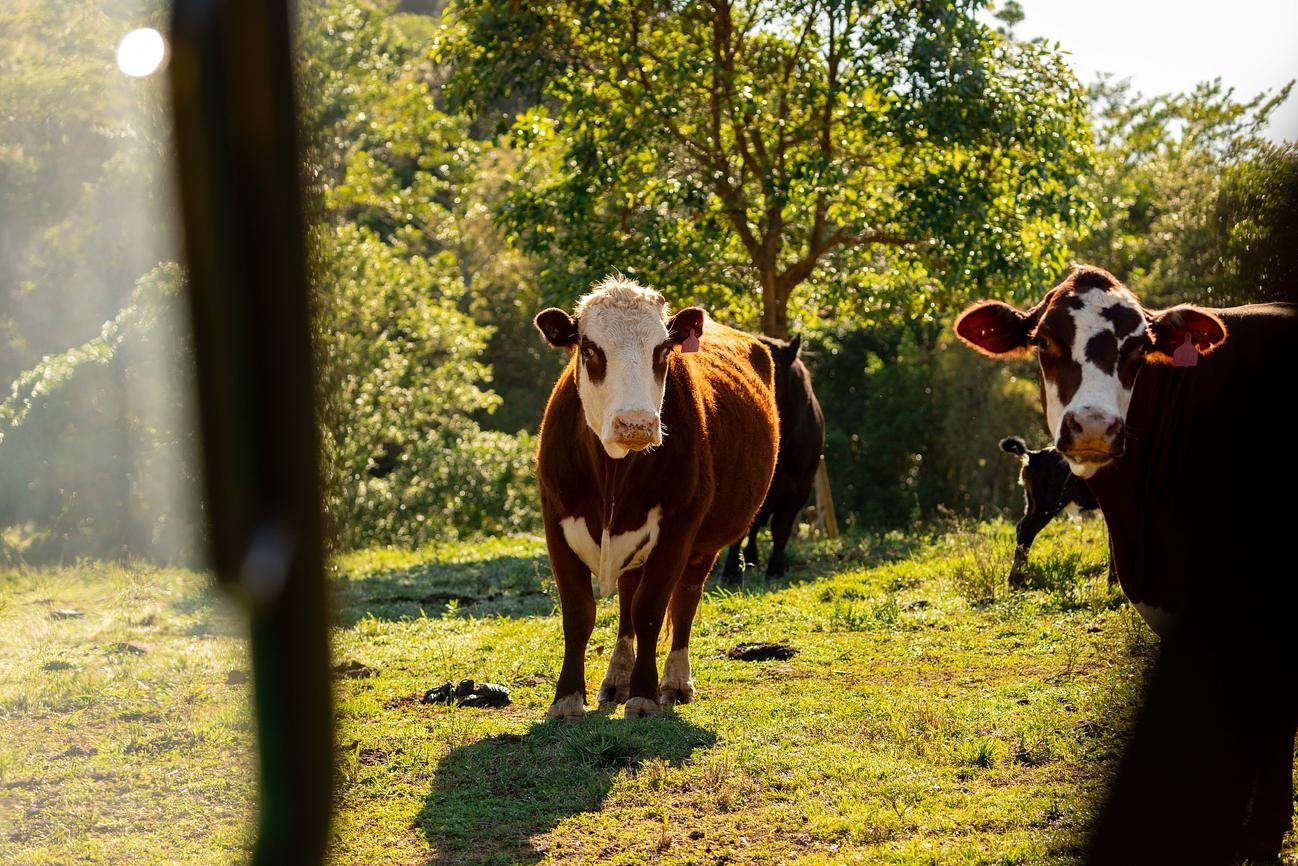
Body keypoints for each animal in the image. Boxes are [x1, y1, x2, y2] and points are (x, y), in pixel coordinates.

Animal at [533, 277, 778, 720]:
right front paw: (567, 698)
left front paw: (644, 694)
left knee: (683, 601)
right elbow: (580, 614)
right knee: (628, 596)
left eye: (662, 350)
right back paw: (617, 678)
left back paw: (675, 681)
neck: (613, 473)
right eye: (590, 349)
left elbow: (650, 609)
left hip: (704, 546)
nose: (635, 423)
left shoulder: (678, 529)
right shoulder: (555, 522)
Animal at [998, 435, 1111, 587]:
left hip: (1033, 504)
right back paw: (1018, 581)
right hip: (1046, 505)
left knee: (1021, 528)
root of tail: (1033, 455)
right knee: (1027, 530)